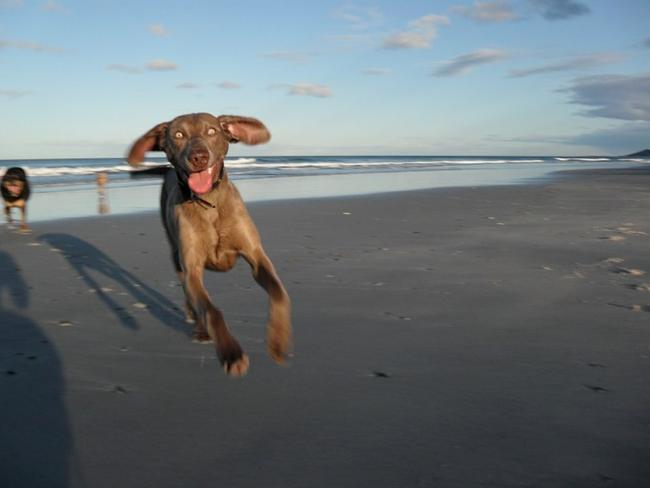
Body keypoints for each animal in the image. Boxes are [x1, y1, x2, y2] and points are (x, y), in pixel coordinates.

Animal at [128, 112, 290, 376]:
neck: (209, 202)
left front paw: (278, 341)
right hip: (176, 256)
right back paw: (201, 330)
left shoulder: (256, 256)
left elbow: (279, 292)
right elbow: (211, 310)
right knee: (191, 298)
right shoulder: (192, 268)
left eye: (212, 131)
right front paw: (231, 353)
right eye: (178, 134)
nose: (199, 157)